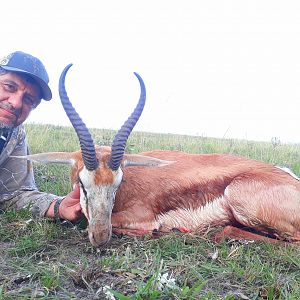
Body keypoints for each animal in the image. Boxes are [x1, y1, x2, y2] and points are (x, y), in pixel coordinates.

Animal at [17, 65, 300, 246]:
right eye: (82, 184)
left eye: (118, 183)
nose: (100, 237)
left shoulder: (139, 217)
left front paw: (159, 231)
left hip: (239, 197)